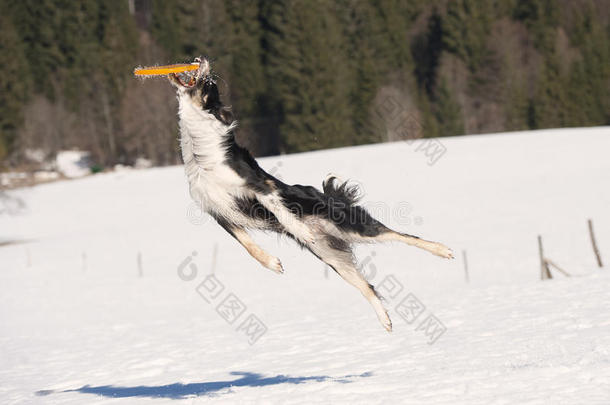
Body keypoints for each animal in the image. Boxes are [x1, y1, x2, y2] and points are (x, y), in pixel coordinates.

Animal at [167, 57, 452, 332]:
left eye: (210, 84)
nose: (201, 58)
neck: (200, 155)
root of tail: (329, 200)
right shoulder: (219, 212)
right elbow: (248, 246)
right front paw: (273, 263)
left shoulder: (258, 186)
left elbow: (281, 212)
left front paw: (301, 231)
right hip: (332, 258)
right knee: (367, 286)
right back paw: (385, 321)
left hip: (354, 226)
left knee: (403, 235)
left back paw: (443, 250)